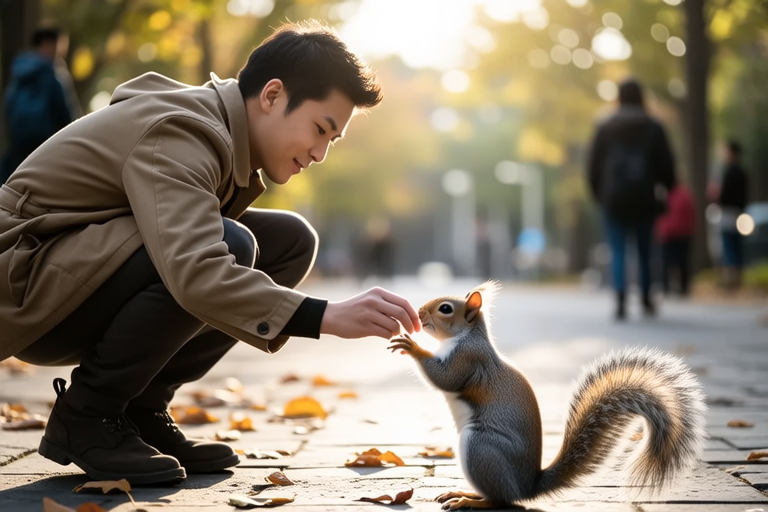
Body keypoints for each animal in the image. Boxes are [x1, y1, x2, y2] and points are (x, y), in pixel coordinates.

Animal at [388, 282, 706, 510]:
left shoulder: (469, 359)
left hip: (481, 447)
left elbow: (445, 378)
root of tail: (527, 486)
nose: (419, 312)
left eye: (445, 308)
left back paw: (469, 500)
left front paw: (412, 346)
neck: (464, 337)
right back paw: (463, 492)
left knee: (501, 500)